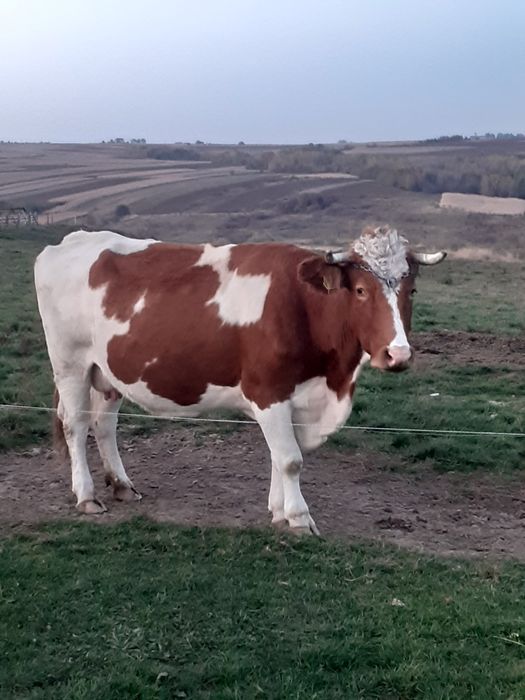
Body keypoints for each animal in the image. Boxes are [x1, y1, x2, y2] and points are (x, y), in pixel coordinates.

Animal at [34, 226, 445, 534]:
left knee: (104, 425)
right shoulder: (268, 390)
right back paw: (86, 496)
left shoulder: (296, 395)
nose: (398, 354)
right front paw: (299, 518)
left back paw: (121, 485)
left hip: (109, 369)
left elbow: (280, 455)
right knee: (75, 425)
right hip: (70, 362)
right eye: (361, 290)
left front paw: (279, 510)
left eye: (411, 290)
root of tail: (71, 240)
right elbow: (290, 458)